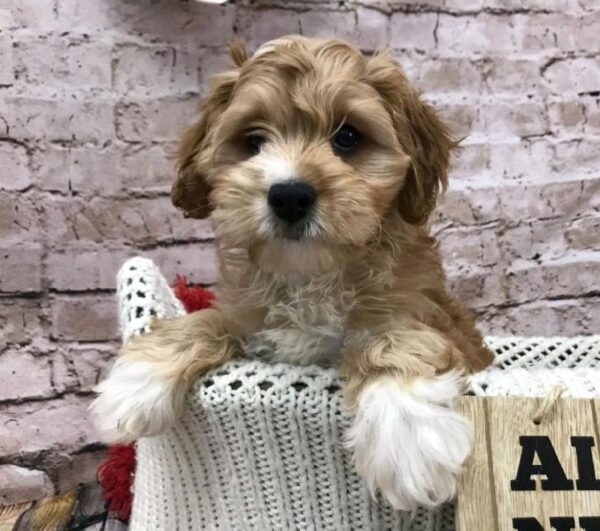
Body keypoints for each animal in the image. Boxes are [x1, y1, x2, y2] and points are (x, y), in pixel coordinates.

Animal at [94, 36, 494, 512]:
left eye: (347, 137)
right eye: (253, 141)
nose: (289, 195)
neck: (309, 273)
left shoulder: (427, 313)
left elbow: (393, 338)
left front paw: (408, 435)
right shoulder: (247, 316)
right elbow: (210, 318)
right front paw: (137, 381)